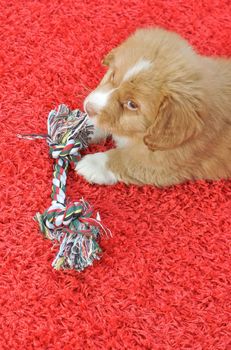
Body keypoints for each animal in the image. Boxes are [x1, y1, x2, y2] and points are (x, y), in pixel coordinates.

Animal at [76, 27, 231, 187]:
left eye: (132, 104)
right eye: (113, 76)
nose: (88, 107)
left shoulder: (165, 164)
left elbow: (126, 160)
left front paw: (94, 163)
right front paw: (82, 128)